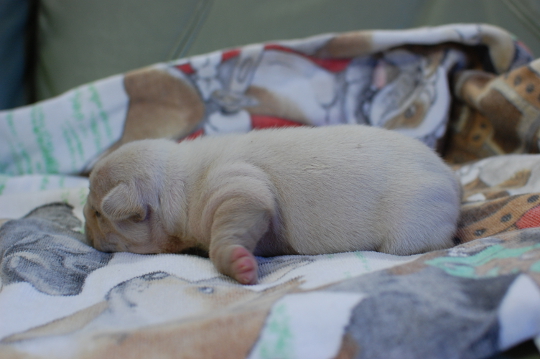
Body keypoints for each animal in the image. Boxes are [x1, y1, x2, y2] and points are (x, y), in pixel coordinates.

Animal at [83, 125, 460, 286]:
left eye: (98, 213)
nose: (84, 230)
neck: (176, 181)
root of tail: (451, 177)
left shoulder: (238, 188)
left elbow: (231, 228)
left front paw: (239, 264)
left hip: (411, 227)